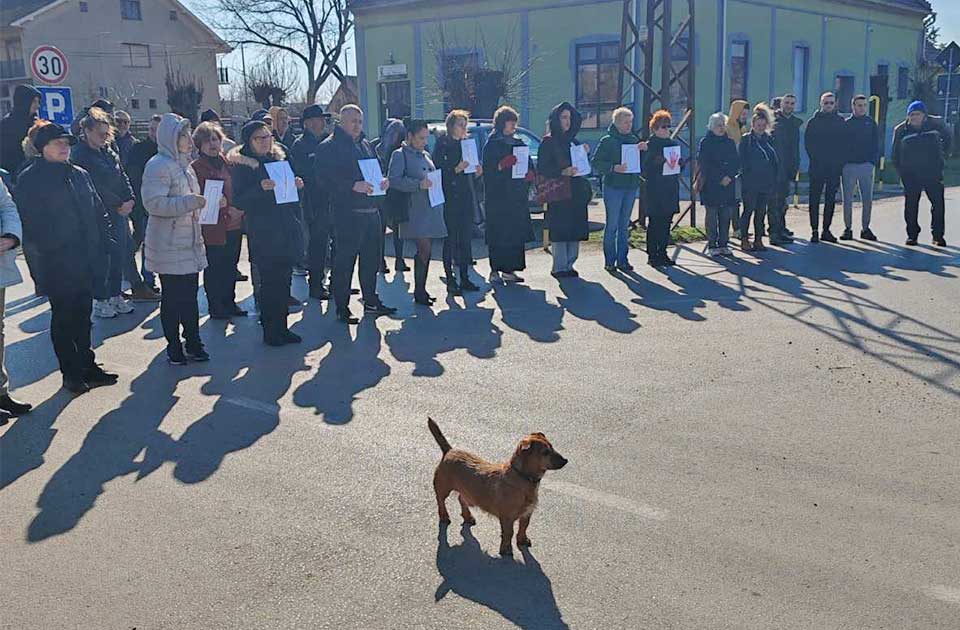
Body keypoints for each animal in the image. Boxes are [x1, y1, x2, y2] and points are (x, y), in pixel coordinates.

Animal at [426, 420, 568, 556]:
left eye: (552, 446)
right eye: (545, 452)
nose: (566, 460)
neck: (523, 477)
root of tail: (449, 450)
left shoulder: (527, 513)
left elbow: (524, 527)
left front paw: (522, 540)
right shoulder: (507, 518)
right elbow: (508, 533)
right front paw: (506, 549)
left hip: (467, 492)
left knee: (461, 498)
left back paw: (468, 517)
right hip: (443, 488)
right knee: (440, 500)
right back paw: (444, 516)